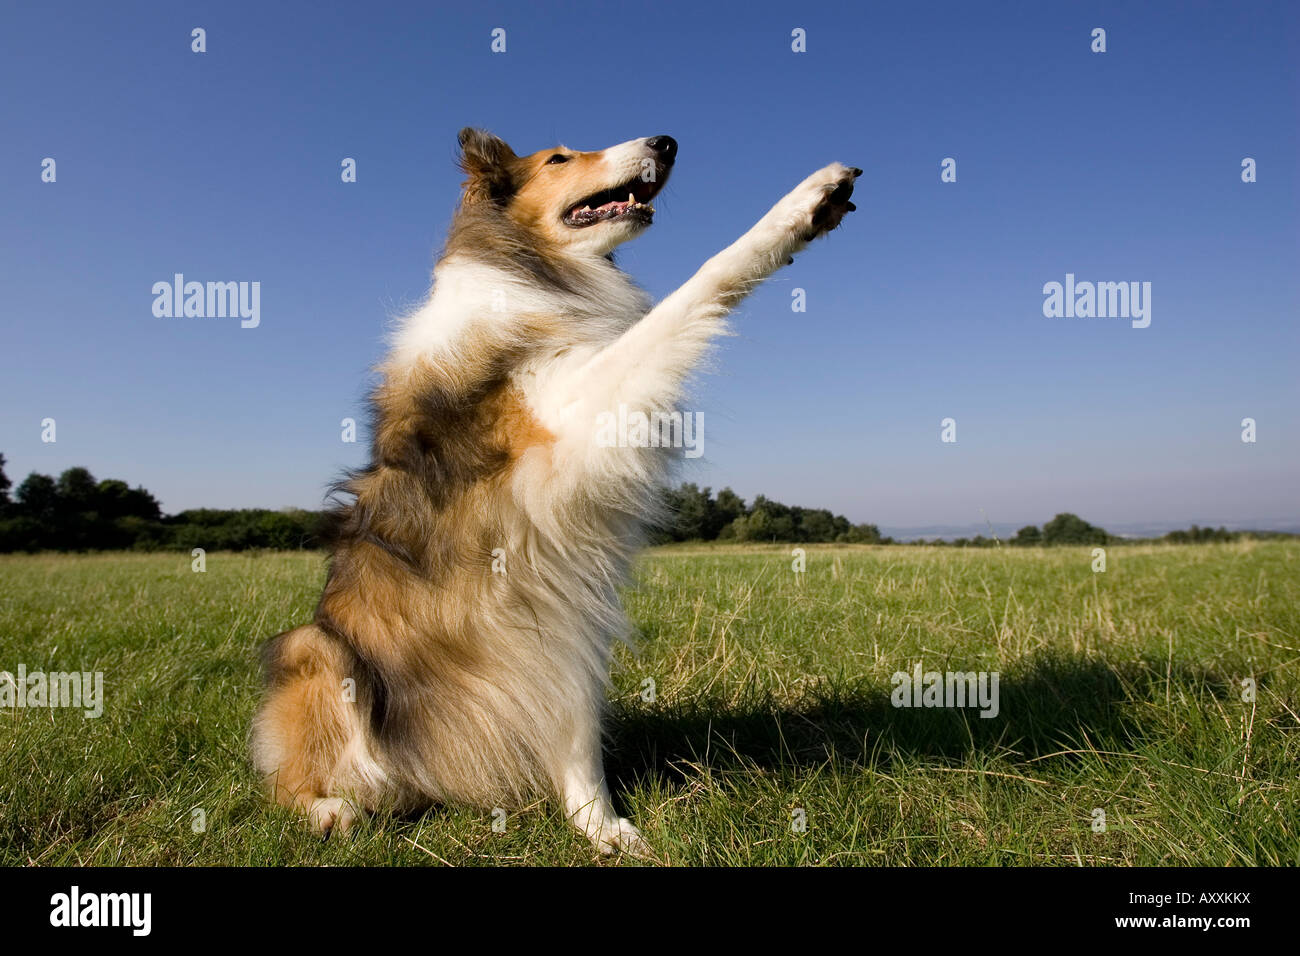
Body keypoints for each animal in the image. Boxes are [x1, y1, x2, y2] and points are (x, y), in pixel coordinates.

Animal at [250, 127, 863, 853]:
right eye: (559, 160)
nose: (667, 140)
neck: (529, 268)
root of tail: (427, 782)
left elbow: (578, 745)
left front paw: (604, 830)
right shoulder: (567, 423)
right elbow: (693, 289)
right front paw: (803, 202)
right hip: (315, 649)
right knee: (292, 784)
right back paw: (331, 811)